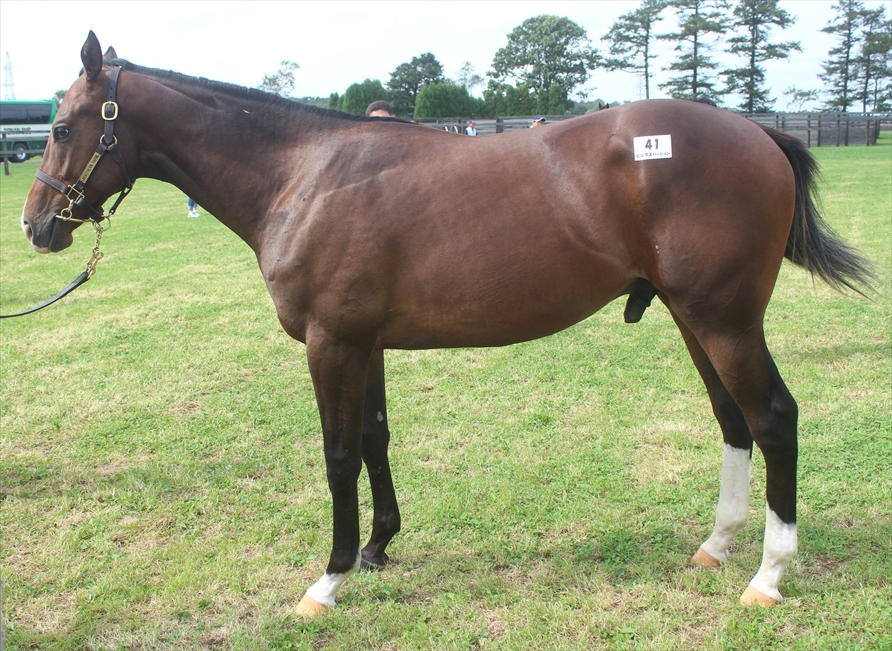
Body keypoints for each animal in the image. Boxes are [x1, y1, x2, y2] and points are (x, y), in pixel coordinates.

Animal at [19, 32, 875, 616]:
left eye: (59, 128)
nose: (35, 226)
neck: (304, 174)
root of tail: (757, 131)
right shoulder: (364, 343)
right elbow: (373, 439)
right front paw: (376, 546)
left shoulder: (332, 344)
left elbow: (337, 457)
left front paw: (328, 576)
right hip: (696, 319)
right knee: (733, 420)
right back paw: (718, 546)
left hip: (724, 320)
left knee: (774, 418)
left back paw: (768, 574)